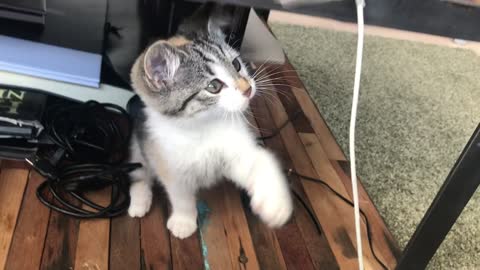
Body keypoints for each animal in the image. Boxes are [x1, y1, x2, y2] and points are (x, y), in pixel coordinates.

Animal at [127, 5, 292, 238]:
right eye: (214, 86)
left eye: (236, 64)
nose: (247, 89)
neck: (204, 126)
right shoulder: (170, 164)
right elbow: (180, 196)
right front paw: (184, 221)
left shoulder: (236, 151)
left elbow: (261, 161)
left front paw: (274, 203)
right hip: (139, 145)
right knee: (140, 172)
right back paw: (139, 202)